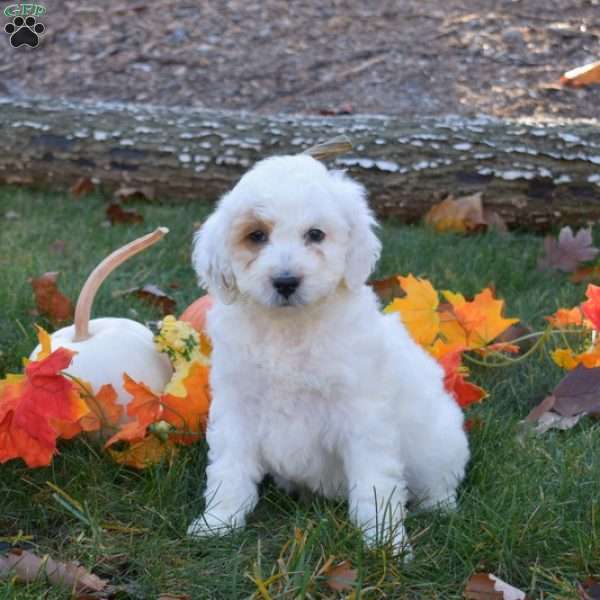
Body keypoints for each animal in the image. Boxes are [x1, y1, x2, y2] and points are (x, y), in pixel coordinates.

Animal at [188, 152, 468, 552]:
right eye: (257, 236)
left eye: (315, 235)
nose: (286, 281)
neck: (290, 328)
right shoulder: (237, 405)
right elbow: (229, 469)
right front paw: (218, 523)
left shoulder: (363, 414)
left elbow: (375, 482)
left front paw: (385, 543)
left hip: (438, 442)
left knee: (439, 481)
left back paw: (440, 509)